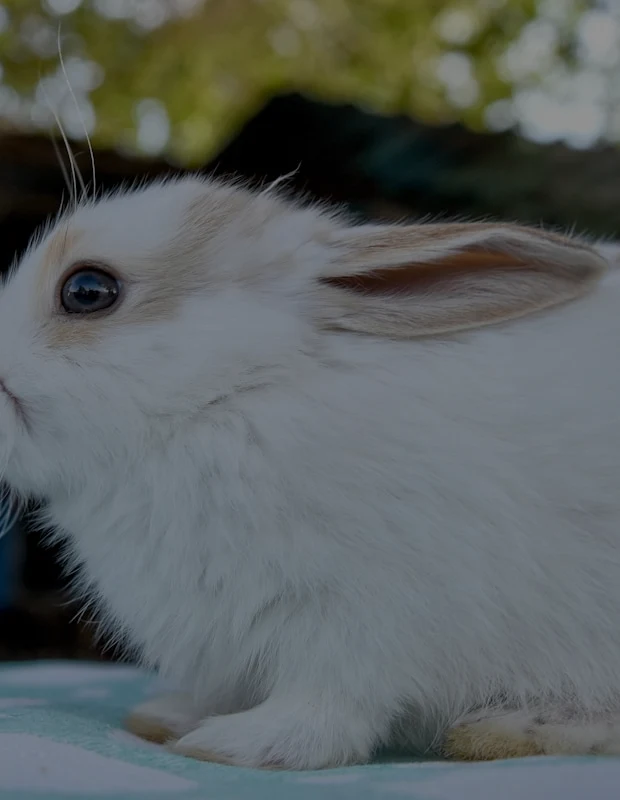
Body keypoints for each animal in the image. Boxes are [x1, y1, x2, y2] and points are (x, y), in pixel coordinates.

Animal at [1, 173, 620, 769]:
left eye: (87, 291)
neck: (230, 394)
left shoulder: (368, 618)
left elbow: (332, 701)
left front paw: (242, 745)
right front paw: (168, 718)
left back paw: (501, 731)